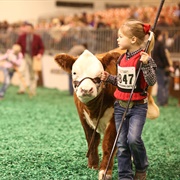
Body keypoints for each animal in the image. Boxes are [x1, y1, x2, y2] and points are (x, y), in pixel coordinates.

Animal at [54, 49, 159, 180]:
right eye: (74, 72)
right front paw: (93, 164)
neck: (94, 109)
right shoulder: (83, 118)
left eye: (100, 73)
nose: (86, 90)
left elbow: (108, 144)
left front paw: (105, 171)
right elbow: (92, 140)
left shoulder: (115, 119)